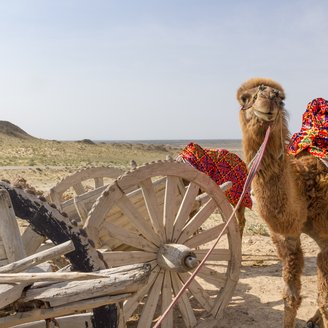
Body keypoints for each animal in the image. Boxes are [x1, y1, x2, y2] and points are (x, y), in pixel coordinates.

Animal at [237, 77, 326, 328]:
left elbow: (324, 298)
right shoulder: (288, 237)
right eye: (245, 98)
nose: (269, 97)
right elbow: (290, 297)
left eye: (282, 99)